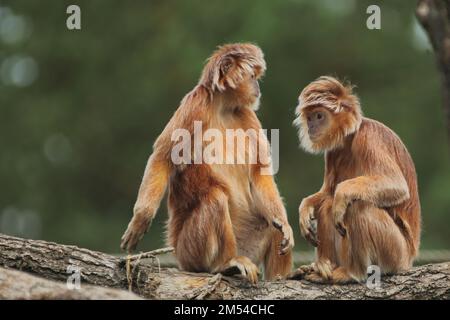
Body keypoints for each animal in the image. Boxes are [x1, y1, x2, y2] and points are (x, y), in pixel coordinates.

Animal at [121, 42, 294, 282]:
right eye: (252, 76)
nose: (257, 86)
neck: (222, 107)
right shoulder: (196, 103)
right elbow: (163, 157)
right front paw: (140, 220)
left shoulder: (247, 114)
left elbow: (259, 171)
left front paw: (284, 223)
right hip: (189, 250)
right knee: (216, 199)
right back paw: (226, 263)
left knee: (271, 224)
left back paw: (279, 276)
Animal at [290, 77, 420, 282]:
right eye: (310, 117)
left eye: (319, 116)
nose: (311, 126)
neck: (350, 137)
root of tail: (409, 259)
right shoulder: (333, 153)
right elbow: (327, 192)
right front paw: (305, 208)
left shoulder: (368, 138)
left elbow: (397, 186)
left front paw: (342, 195)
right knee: (327, 204)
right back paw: (323, 266)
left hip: (396, 252)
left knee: (356, 206)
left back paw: (351, 272)